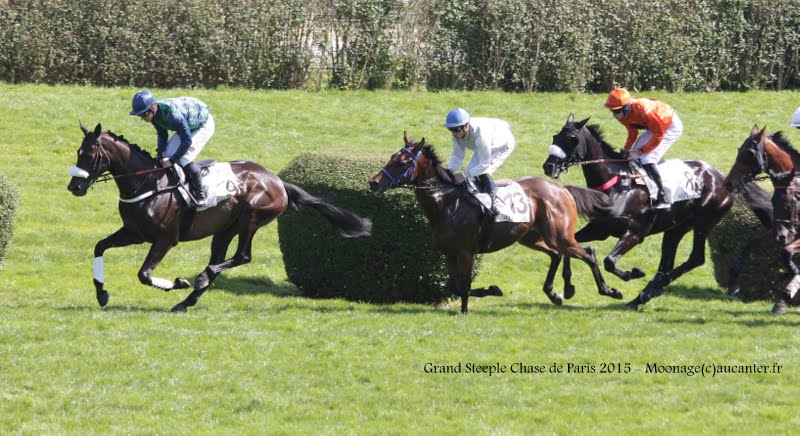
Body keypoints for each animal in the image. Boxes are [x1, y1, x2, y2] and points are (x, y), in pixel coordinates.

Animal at [66, 124, 372, 312]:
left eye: (90, 155)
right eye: (78, 152)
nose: (74, 187)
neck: (148, 183)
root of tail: (277, 180)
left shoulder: (165, 239)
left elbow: (144, 274)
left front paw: (178, 282)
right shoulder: (134, 233)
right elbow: (100, 247)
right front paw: (102, 294)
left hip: (251, 218)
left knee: (241, 257)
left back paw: (199, 279)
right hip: (225, 229)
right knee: (220, 259)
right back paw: (187, 300)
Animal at [370, 133, 624, 314]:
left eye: (402, 162)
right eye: (391, 158)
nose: (374, 183)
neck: (446, 203)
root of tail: (562, 188)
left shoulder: (466, 251)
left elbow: (464, 285)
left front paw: (470, 306)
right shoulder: (448, 252)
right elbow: (455, 286)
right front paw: (488, 291)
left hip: (560, 235)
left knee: (588, 253)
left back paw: (609, 291)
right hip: (531, 237)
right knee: (556, 254)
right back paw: (554, 293)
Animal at [540, 114, 736, 308]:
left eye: (572, 139)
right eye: (555, 137)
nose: (549, 166)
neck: (616, 183)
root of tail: (722, 178)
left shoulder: (635, 232)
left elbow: (609, 262)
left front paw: (631, 274)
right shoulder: (599, 229)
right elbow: (570, 246)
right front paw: (569, 288)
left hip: (704, 222)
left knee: (696, 258)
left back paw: (655, 287)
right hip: (677, 228)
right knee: (668, 262)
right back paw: (644, 295)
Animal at [724, 125, 800, 314]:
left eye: (750, 153)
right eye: (739, 150)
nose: (728, 183)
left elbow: (786, 252)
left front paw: (785, 295)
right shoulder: (780, 230)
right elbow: (749, 244)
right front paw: (733, 283)